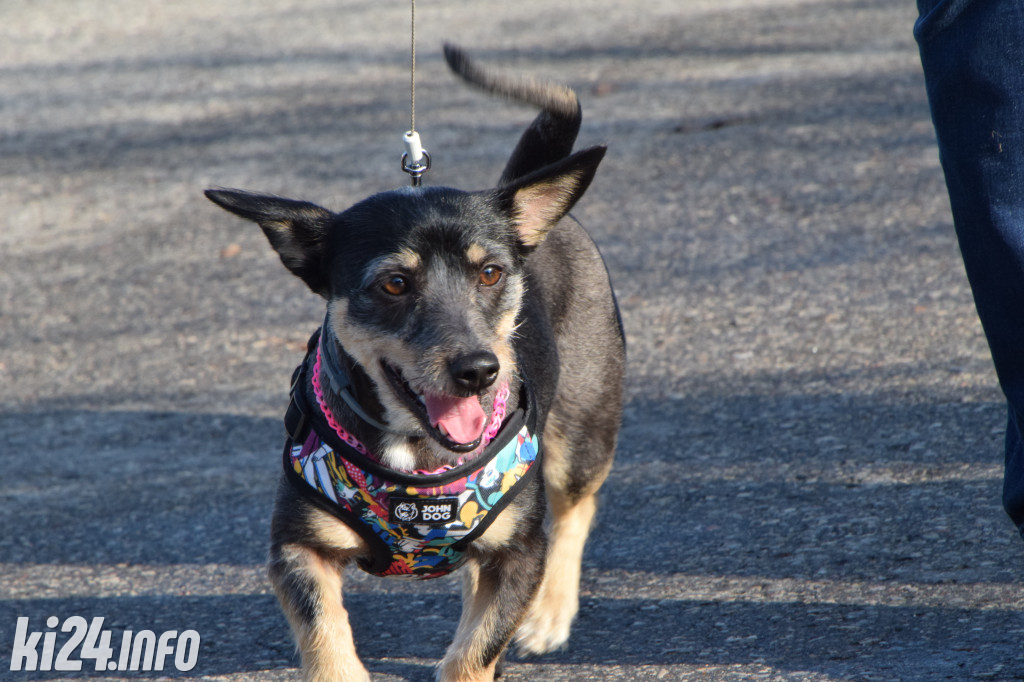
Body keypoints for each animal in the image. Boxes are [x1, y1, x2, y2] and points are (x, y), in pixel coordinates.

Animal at [202, 43, 622, 679]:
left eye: (490, 272)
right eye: (395, 283)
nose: (478, 370)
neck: (418, 457)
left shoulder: (521, 553)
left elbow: (475, 650)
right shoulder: (297, 548)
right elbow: (324, 635)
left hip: (583, 423)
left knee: (577, 508)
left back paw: (548, 614)